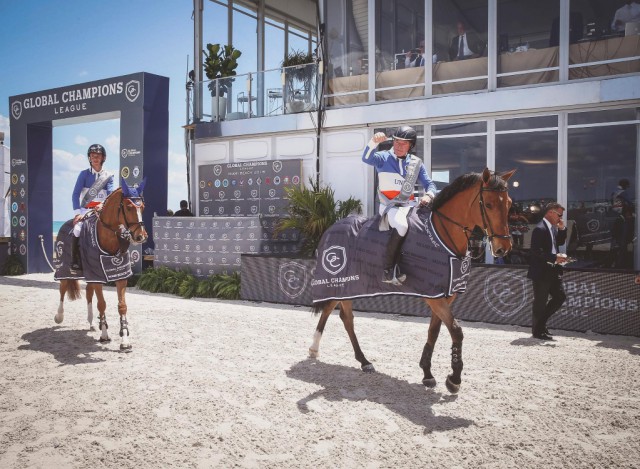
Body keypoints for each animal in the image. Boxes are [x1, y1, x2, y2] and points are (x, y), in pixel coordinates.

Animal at [54, 179, 149, 352]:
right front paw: (104, 335)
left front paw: (125, 340)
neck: (109, 237)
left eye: (143, 207)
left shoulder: (120, 276)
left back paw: (91, 323)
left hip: (88, 274)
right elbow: (102, 304)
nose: (141, 237)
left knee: (88, 294)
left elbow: (122, 306)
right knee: (62, 290)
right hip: (65, 270)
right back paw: (59, 316)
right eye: (129, 207)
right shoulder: (97, 275)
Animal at [310, 167, 516, 392]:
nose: (503, 248)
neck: (442, 234)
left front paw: (427, 373)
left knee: (344, 317)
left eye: (509, 203)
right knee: (333, 311)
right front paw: (454, 379)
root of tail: (331, 228)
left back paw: (360, 360)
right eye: (488, 204)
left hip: (350, 285)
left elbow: (434, 331)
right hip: (339, 283)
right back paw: (316, 349)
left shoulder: (445, 294)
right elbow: (456, 331)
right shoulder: (433, 295)